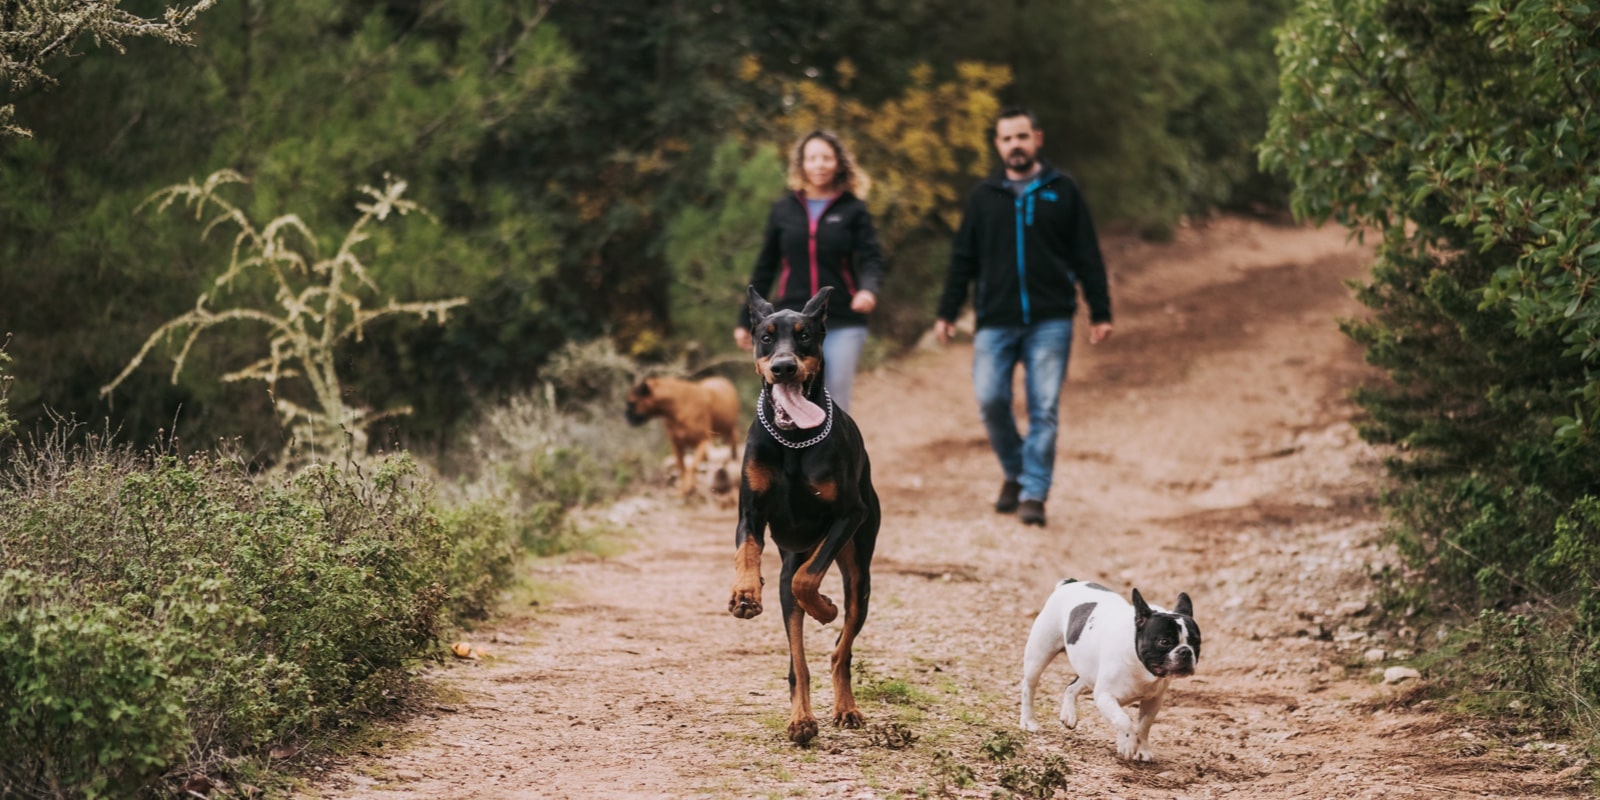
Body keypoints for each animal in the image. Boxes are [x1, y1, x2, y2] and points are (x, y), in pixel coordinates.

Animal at [729, 286, 883, 742]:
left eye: (805, 336)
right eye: (765, 337)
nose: (783, 367)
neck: (792, 440)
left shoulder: (849, 515)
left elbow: (808, 579)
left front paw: (826, 609)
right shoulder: (750, 510)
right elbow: (747, 549)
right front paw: (745, 594)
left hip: (860, 576)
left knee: (840, 650)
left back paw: (845, 707)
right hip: (788, 571)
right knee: (797, 657)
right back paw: (802, 719)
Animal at [1024, 579, 1203, 758]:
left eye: (1196, 642)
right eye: (1164, 642)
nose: (1185, 651)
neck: (1141, 666)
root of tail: (1069, 583)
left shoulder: (1153, 701)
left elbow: (1144, 726)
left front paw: (1143, 750)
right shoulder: (1104, 696)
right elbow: (1123, 719)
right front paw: (1127, 743)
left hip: (1088, 670)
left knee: (1071, 687)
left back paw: (1069, 715)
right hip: (1039, 654)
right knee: (1029, 687)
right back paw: (1028, 722)